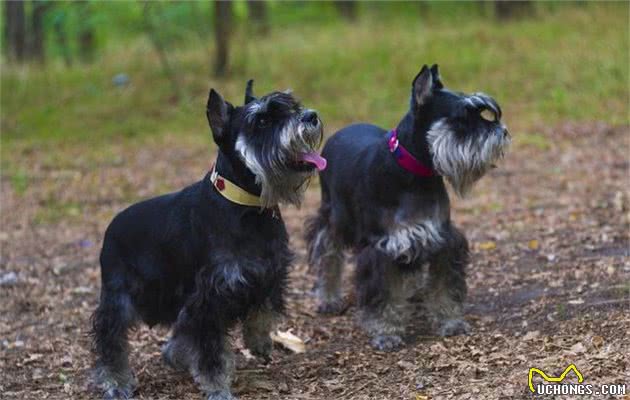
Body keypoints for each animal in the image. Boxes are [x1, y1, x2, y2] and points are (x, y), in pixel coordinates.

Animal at [92, 79, 326, 398]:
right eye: (262, 121)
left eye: (293, 106)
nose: (310, 116)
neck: (248, 208)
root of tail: (110, 228)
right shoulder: (209, 297)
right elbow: (211, 351)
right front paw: (218, 387)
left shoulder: (270, 272)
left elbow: (261, 312)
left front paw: (259, 342)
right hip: (120, 297)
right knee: (110, 337)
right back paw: (115, 381)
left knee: (180, 325)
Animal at [308, 65, 512, 350]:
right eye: (461, 120)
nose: (501, 132)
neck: (414, 172)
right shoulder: (381, 248)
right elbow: (382, 295)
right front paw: (386, 332)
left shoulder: (442, 239)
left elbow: (444, 286)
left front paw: (450, 321)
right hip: (333, 218)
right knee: (328, 255)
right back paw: (328, 298)